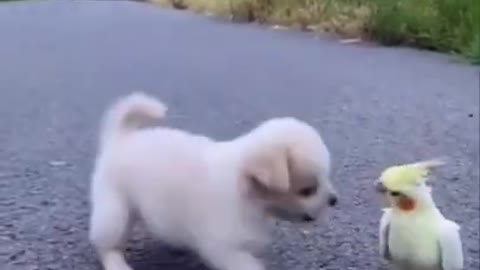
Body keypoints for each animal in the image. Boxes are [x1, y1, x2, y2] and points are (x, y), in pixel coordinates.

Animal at [89, 92, 338, 270]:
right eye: (308, 190)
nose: (334, 199)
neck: (246, 192)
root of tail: (121, 139)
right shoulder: (224, 249)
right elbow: (247, 265)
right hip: (115, 212)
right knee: (106, 246)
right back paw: (117, 263)